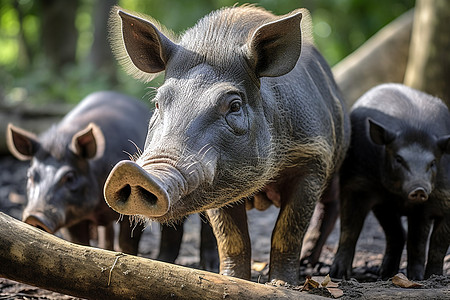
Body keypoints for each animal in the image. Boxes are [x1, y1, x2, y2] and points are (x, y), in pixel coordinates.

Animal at [103, 5, 350, 284]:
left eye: (234, 105)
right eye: (158, 102)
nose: (131, 172)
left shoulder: (313, 157)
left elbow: (287, 231)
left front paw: (281, 284)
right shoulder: (217, 184)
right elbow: (232, 238)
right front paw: (234, 280)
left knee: (331, 205)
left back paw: (315, 267)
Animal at [330, 83, 450, 280]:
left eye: (433, 162)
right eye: (398, 159)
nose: (419, 189)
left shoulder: (440, 199)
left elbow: (424, 242)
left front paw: (419, 279)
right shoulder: (356, 183)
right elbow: (349, 228)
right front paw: (338, 275)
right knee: (396, 233)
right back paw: (383, 274)